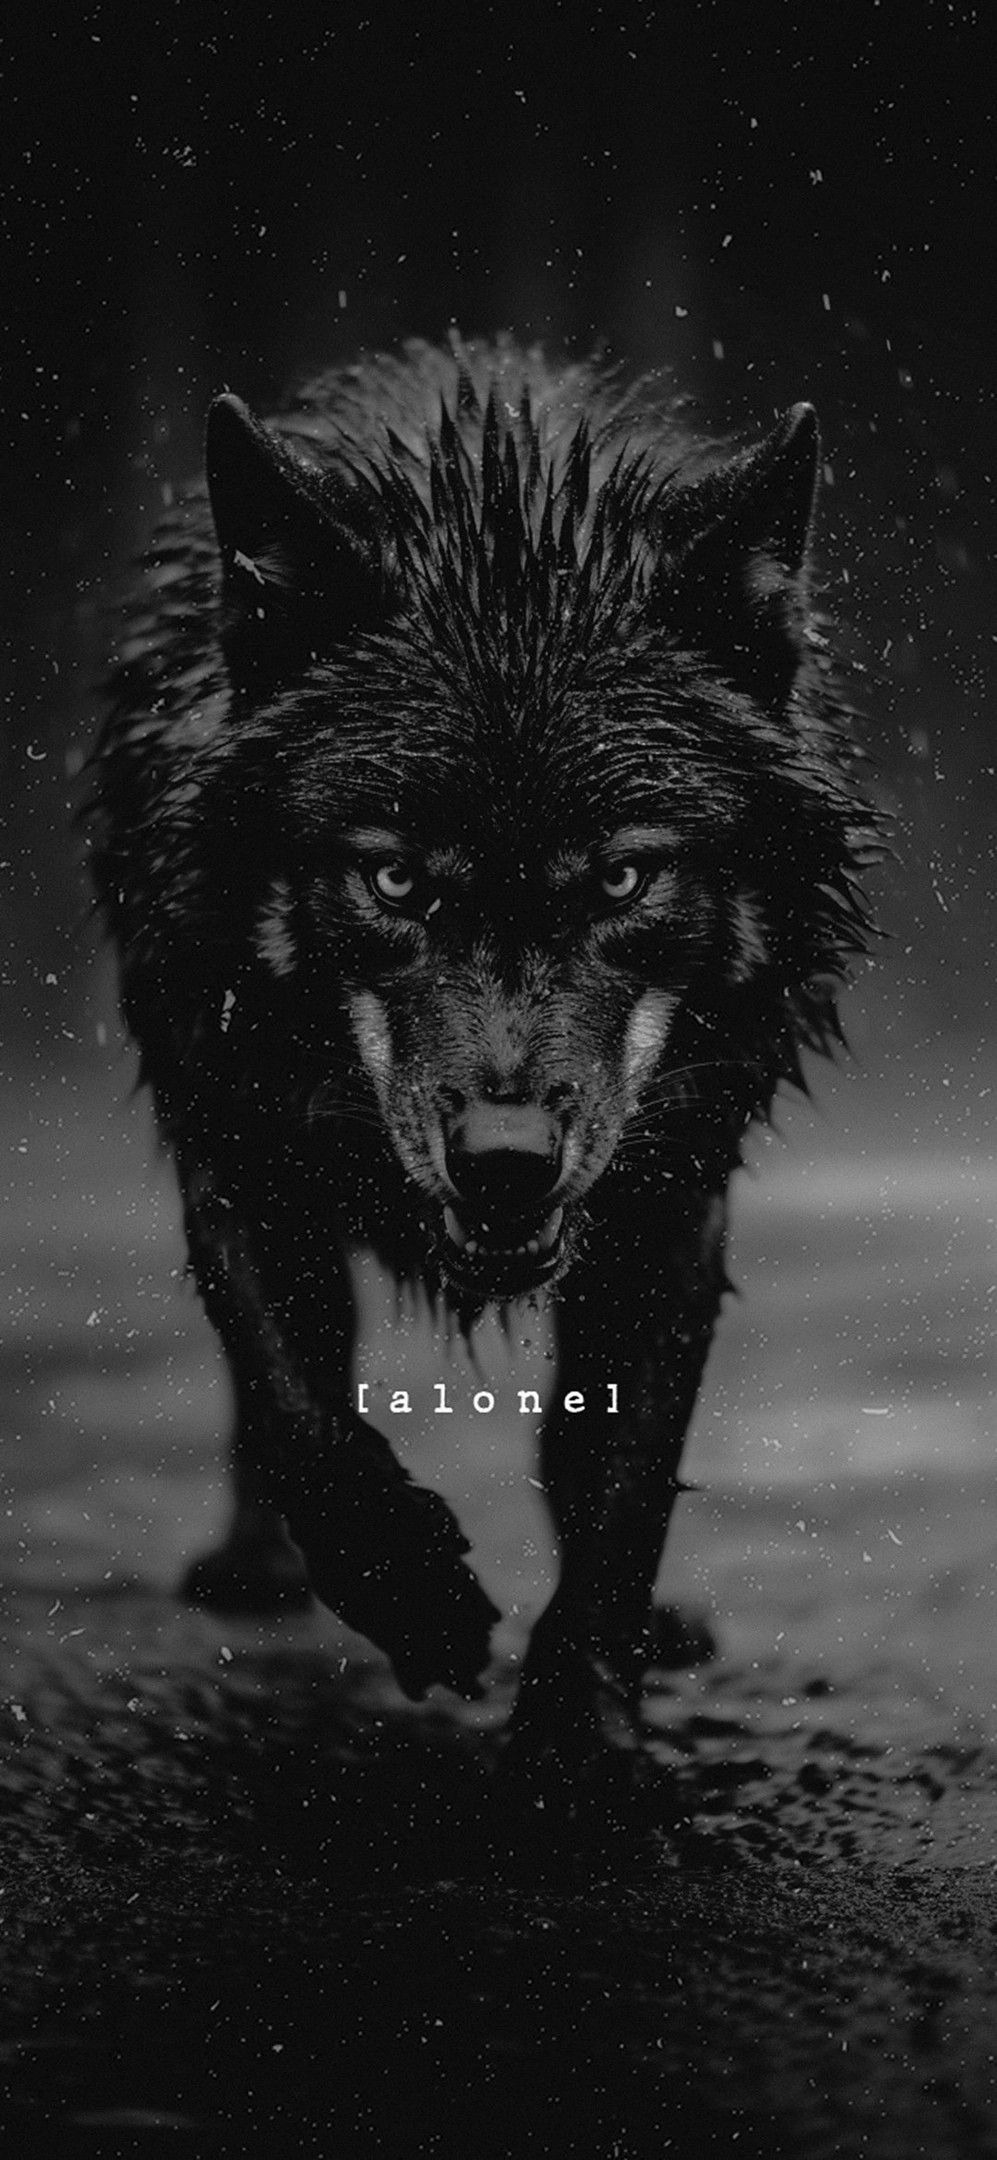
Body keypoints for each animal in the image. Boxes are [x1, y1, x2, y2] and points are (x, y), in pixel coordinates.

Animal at [89, 337, 878, 1750]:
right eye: (395, 879)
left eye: (622, 877)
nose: (504, 1160)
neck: (491, 512)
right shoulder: (233, 1140)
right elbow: (299, 1411)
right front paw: (413, 1599)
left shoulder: (670, 1196)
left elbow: (618, 1472)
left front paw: (576, 1732)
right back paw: (256, 1570)